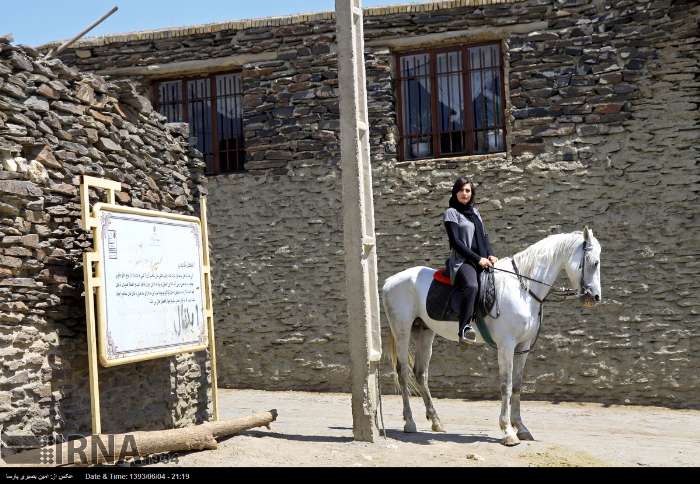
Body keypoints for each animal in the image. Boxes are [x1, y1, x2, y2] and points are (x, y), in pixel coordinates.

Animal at [382, 227, 600, 446]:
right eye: (594, 262)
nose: (595, 297)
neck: (523, 288)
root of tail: (390, 281)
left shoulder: (523, 346)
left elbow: (517, 385)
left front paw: (521, 428)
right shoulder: (507, 345)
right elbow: (506, 385)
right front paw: (508, 431)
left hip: (425, 332)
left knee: (421, 373)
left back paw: (436, 421)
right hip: (402, 330)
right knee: (403, 372)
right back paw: (410, 422)